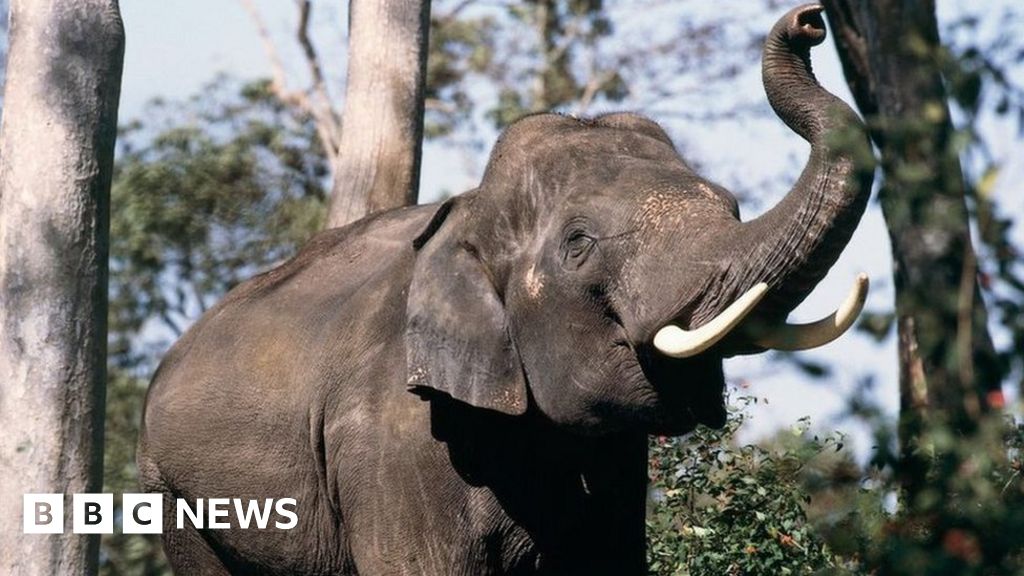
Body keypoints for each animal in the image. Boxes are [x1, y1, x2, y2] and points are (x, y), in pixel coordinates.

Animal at [136, 5, 872, 573]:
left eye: (732, 206)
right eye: (579, 243)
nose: (810, 21)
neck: (467, 213)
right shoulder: (393, 444)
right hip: (174, 494)